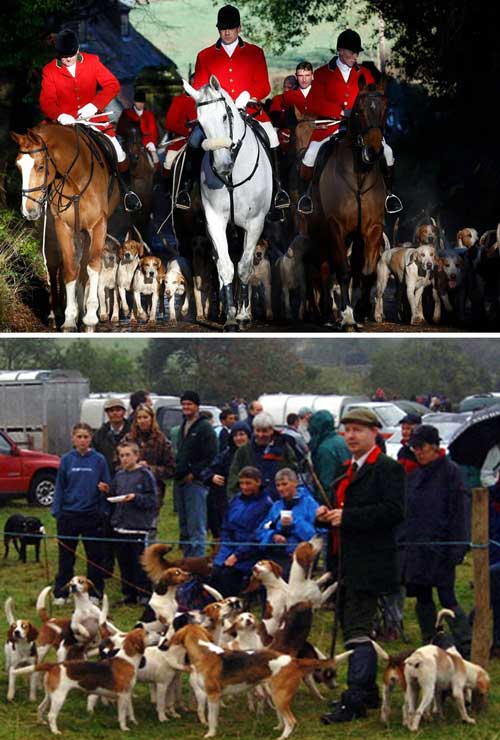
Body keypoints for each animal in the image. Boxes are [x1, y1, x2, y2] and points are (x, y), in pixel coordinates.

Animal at [10, 124, 120, 330]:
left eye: (41, 166)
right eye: (18, 167)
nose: (28, 211)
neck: (76, 177)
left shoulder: (98, 226)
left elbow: (92, 267)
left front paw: (90, 316)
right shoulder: (63, 226)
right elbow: (69, 269)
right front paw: (69, 319)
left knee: (83, 268)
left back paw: (82, 312)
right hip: (52, 232)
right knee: (54, 265)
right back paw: (56, 313)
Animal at [183, 76, 272, 328]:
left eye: (224, 116)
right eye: (200, 124)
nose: (222, 164)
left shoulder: (254, 223)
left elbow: (244, 267)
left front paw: (242, 315)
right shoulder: (215, 221)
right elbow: (225, 266)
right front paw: (231, 316)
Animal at [308, 76, 386, 328]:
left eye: (385, 109)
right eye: (359, 110)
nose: (373, 151)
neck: (359, 175)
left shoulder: (372, 229)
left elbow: (366, 272)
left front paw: (360, 310)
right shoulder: (336, 226)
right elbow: (342, 271)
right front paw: (348, 316)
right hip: (319, 233)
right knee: (324, 268)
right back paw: (326, 313)